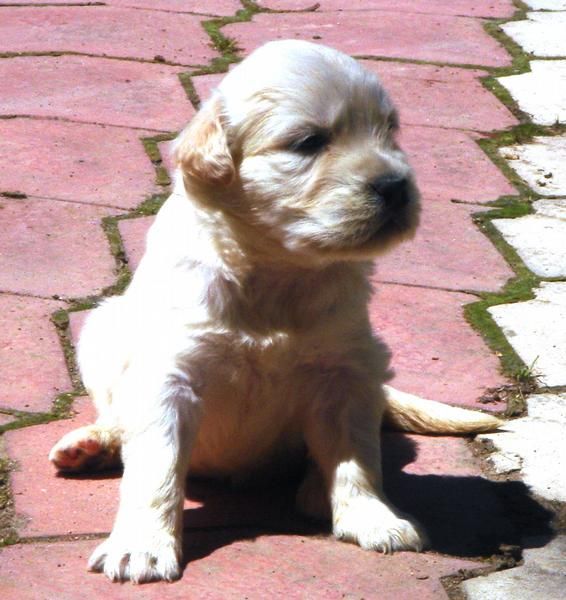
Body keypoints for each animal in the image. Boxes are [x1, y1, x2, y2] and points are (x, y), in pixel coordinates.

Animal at [47, 41, 502, 580]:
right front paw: (141, 545)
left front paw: (372, 518)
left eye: (389, 131)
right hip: (103, 329)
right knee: (119, 418)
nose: (396, 186)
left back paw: (315, 491)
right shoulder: (169, 374)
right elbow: (155, 466)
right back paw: (92, 443)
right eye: (309, 142)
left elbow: (356, 455)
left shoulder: (347, 370)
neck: (278, 270)